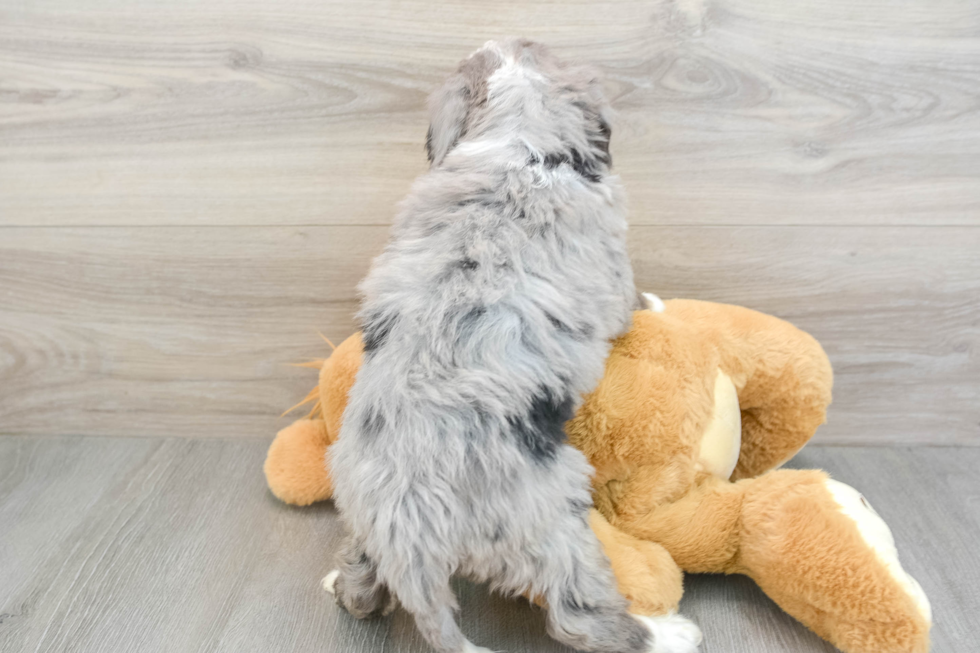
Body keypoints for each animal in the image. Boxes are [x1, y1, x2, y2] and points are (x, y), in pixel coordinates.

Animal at [330, 40, 704, 652]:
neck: (520, 144)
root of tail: (407, 526)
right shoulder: (613, 270)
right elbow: (631, 302)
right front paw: (657, 304)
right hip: (555, 526)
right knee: (580, 618)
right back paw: (668, 632)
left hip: (362, 521)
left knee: (362, 586)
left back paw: (344, 585)